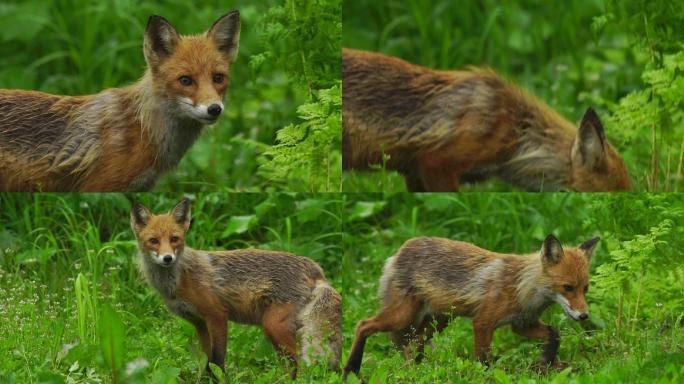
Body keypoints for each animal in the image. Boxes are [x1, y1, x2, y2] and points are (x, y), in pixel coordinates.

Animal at [130, 198, 342, 378]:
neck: (179, 279)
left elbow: (217, 359)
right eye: (154, 241)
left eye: (174, 239)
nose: (167, 258)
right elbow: (206, 360)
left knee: (297, 366)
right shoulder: (199, 323)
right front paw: (205, 379)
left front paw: (220, 379)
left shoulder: (217, 315)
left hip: (273, 326)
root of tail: (315, 267)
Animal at [342, 234, 600, 378]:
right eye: (567, 287)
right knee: (363, 325)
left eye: (585, 288)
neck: (522, 288)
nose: (584, 316)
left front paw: (544, 362)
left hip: (435, 323)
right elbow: (484, 360)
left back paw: (416, 371)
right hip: (402, 316)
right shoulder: (483, 322)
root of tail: (397, 253)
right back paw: (350, 369)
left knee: (412, 346)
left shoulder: (522, 323)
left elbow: (554, 334)